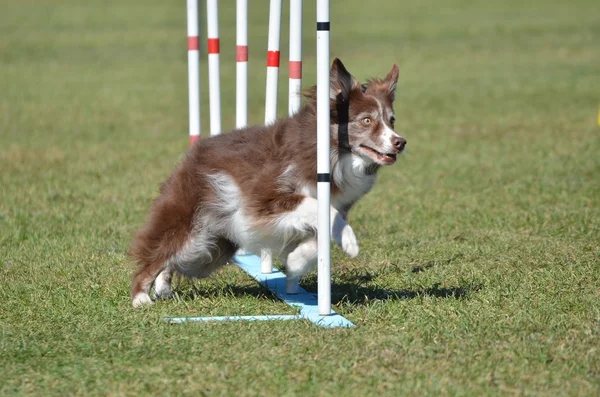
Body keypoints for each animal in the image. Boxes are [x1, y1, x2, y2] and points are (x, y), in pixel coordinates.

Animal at [129, 58, 406, 306]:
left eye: (392, 120)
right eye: (367, 120)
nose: (400, 142)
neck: (333, 153)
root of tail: (191, 157)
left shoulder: (334, 204)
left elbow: (321, 236)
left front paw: (295, 263)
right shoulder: (262, 198)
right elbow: (318, 207)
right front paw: (350, 242)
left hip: (210, 249)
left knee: (174, 261)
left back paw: (164, 288)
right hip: (192, 225)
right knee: (158, 253)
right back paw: (141, 297)